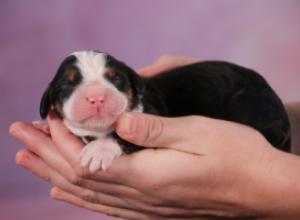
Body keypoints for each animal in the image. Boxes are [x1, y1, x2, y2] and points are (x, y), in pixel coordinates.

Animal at [35, 50, 290, 173]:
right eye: (68, 84)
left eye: (115, 78)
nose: (97, 98)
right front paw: (45, 126)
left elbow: (121, 136)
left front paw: (99, 149)